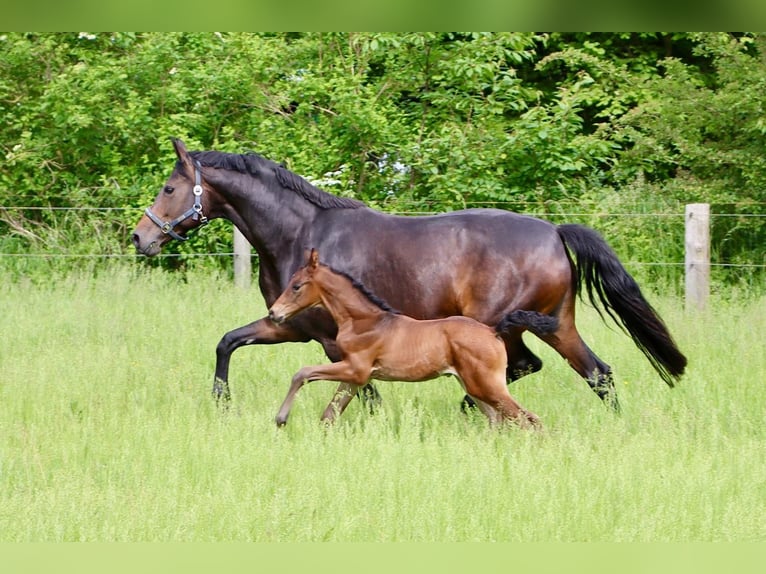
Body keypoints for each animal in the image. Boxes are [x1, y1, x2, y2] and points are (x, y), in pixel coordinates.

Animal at [132, 138, 688, 412]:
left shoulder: (329, 339)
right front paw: (221, 403)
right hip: (557, 324)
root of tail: (554, 231)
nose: (141, 237)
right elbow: (228, 341)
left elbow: (360, 393)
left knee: (524, 369)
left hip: (501, 325)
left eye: (168, 188)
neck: (301, 232)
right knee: (599, 374)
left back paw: (471, 410)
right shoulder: (286, 323)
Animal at [270, 250, 544, 430]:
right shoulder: (356, 378)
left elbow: (303, 373)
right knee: (497, 420)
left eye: (296, 286)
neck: (363, 321)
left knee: (529, 419)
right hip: (473, 386)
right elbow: (329, 415)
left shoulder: (355, 369)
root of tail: (492, 331)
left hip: (488, 386)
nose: (274, 313)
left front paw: (281, 419)